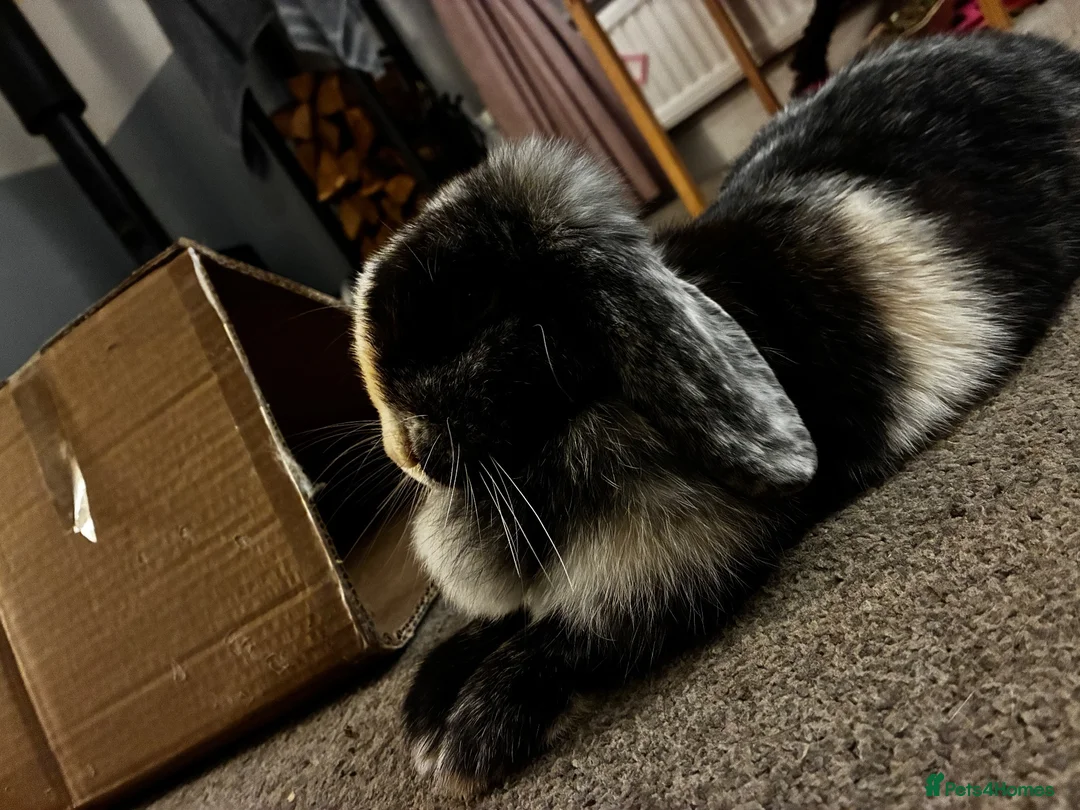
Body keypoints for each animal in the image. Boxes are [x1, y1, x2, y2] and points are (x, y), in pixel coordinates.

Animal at [351, 32, 1080, 795]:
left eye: (468, 310)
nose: (405, 453)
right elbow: (505, 621)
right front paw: (427, 699)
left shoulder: (691, 559)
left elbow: (570, 637)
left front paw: (465, 742)